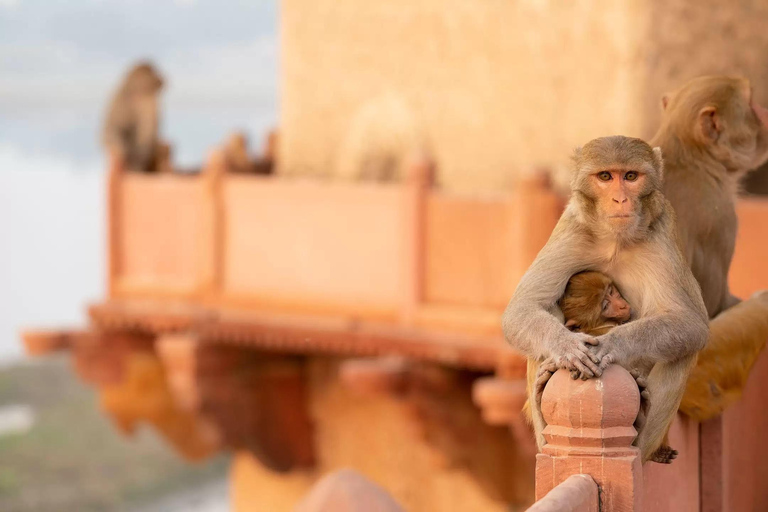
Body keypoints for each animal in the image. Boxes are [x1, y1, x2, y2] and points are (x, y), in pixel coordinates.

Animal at [503, 136, 710, 464]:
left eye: (630, 176)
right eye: (605, 177)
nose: (620, 200)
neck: (615, 239)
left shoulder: (661, 234)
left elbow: (690, 322)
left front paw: (612, 344)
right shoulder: (572, 228)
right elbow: (523, 307)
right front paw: (567, 346)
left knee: (683, 351)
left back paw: (640, 434)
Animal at [650, 76, 768, 420]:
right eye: (752, 104)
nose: (766, 112)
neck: (691, 155)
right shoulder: (721, 216)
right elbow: (716, 301)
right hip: (708, 363)